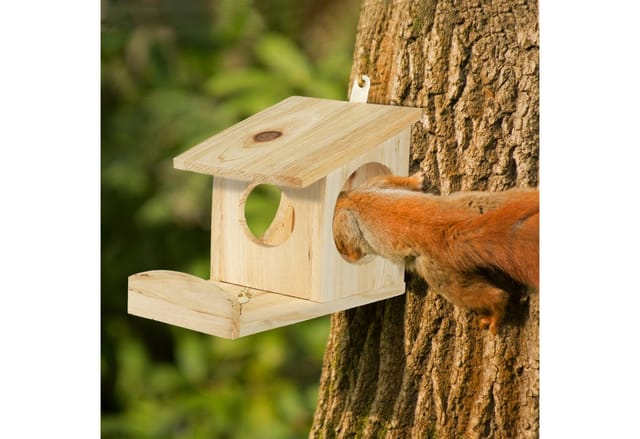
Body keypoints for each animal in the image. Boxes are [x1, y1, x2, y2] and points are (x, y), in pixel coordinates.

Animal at [332, 173, 539, 335]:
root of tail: (450, 230)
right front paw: (417, 179)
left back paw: (495, 315)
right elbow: (397, 181)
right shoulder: (375, 185)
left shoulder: (346, 220)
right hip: (481, 202)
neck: (348, 199)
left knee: (491, 296)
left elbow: (350, 248)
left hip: (438, 274)